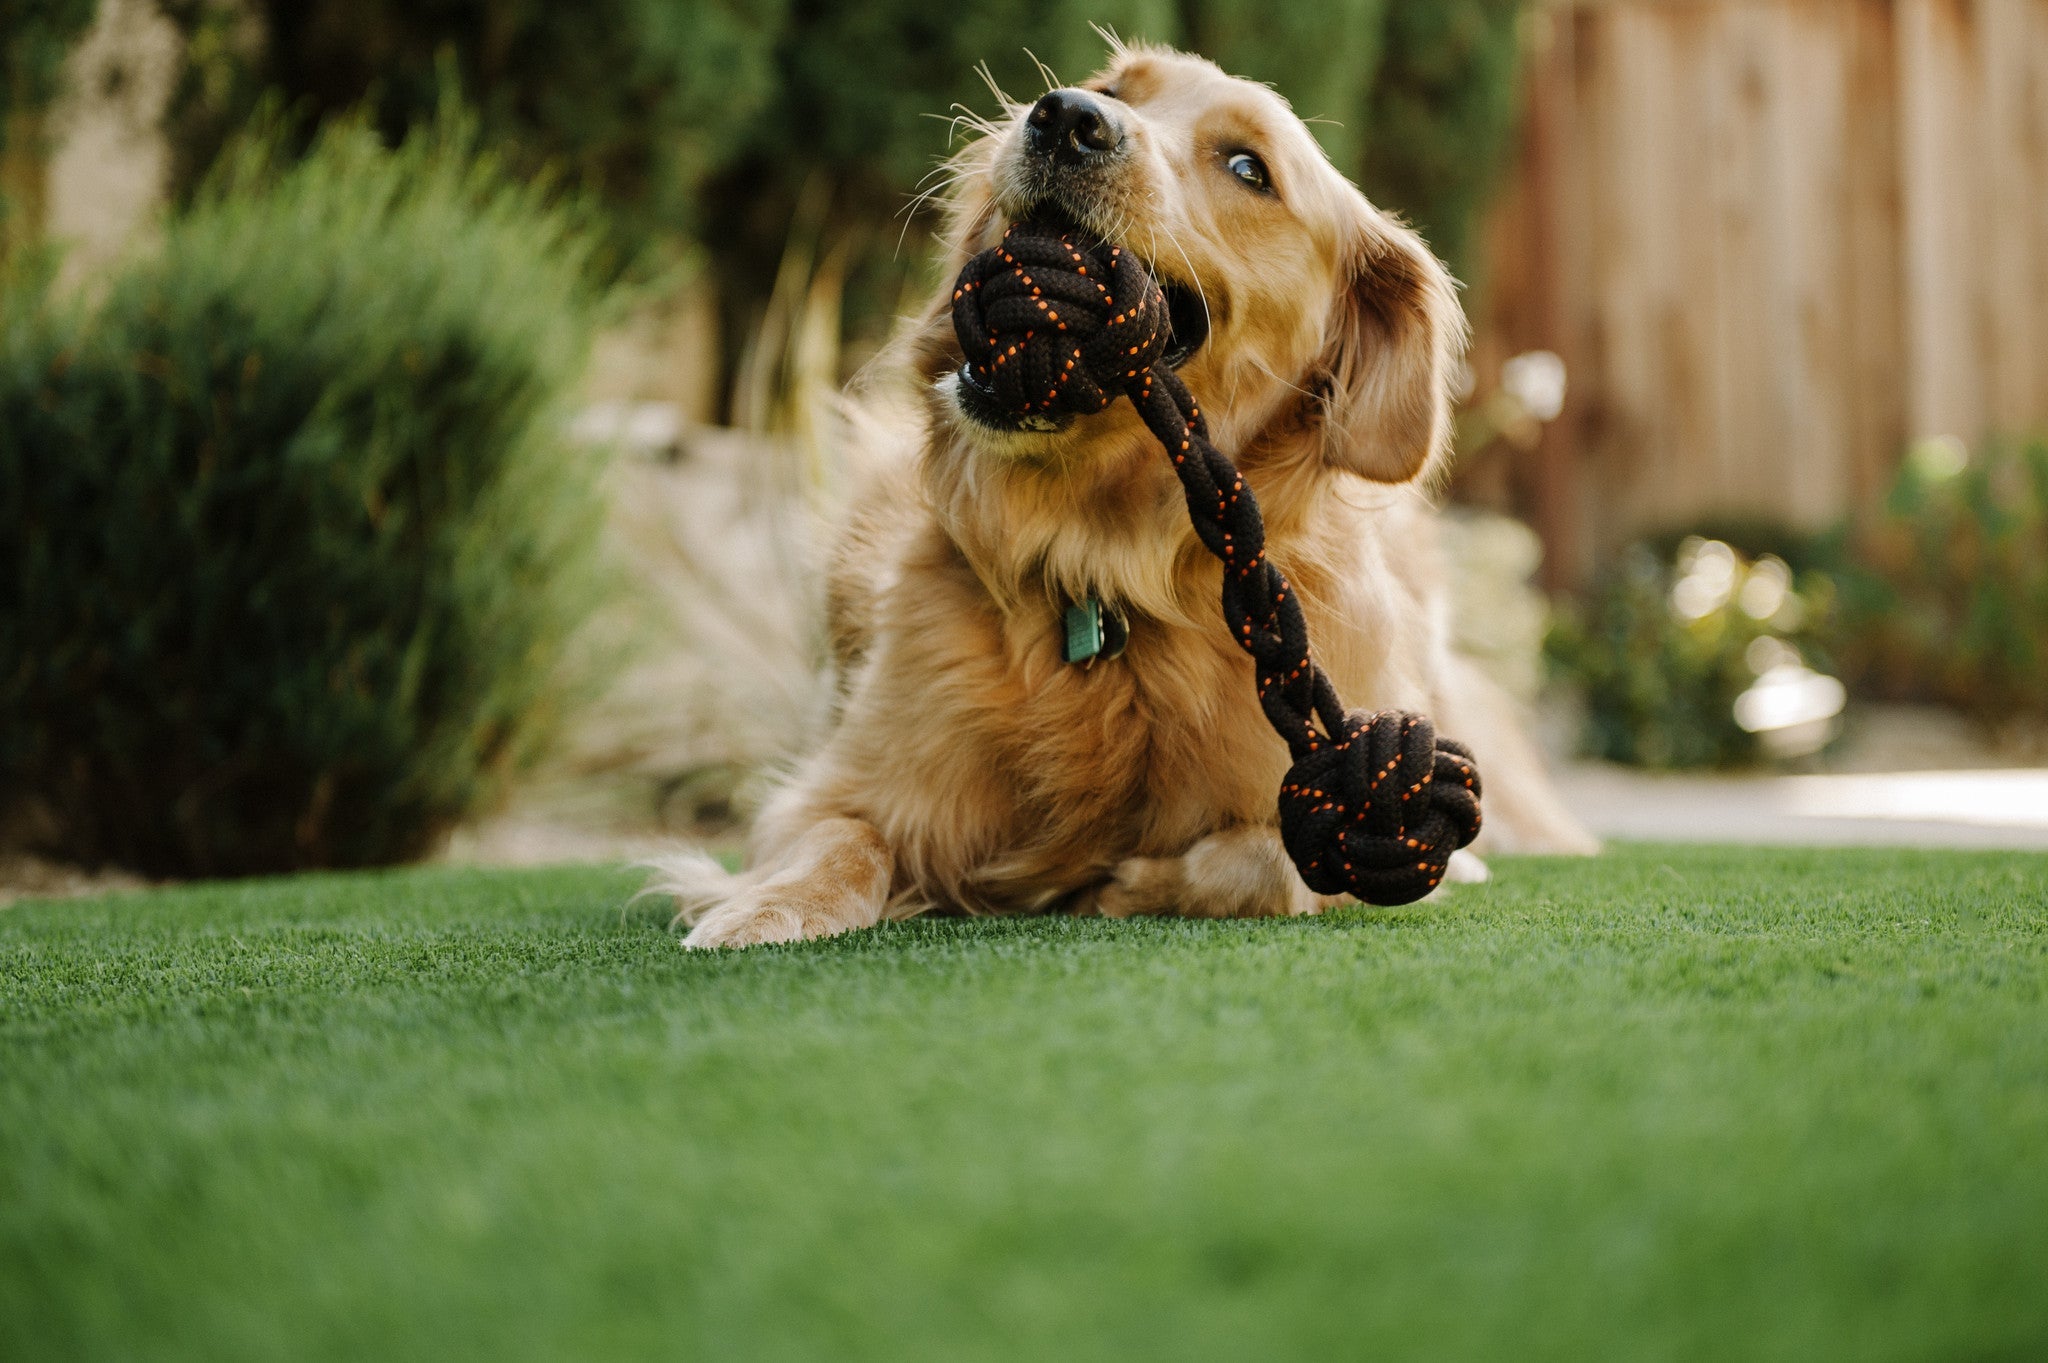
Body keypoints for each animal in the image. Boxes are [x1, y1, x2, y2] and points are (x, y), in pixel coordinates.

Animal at [647, 37, 1589, 941]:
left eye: (1249, 168)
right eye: (1113, 89)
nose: (1066, 118)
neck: (1106, 561)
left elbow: (1266, 865)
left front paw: (1122, 884)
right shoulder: (839, 781)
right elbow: (839, 838)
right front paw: (764, 911)